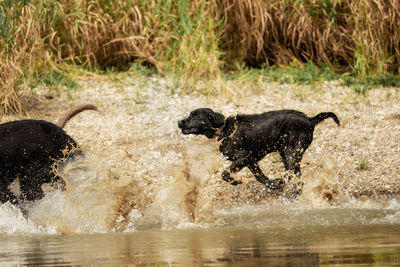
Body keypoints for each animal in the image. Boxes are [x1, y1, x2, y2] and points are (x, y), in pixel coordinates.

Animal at [178, 108, 338, 192]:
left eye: (194, 115)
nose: (179, 122)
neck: (225, 130)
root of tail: (310, 120)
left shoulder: (244, 157)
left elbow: (225, 173)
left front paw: (235, 182)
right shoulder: (251, 161)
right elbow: (260, 177)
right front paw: (274, 185)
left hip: (291, 152)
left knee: (290, 175)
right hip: (287, 153)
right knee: (296, 176)